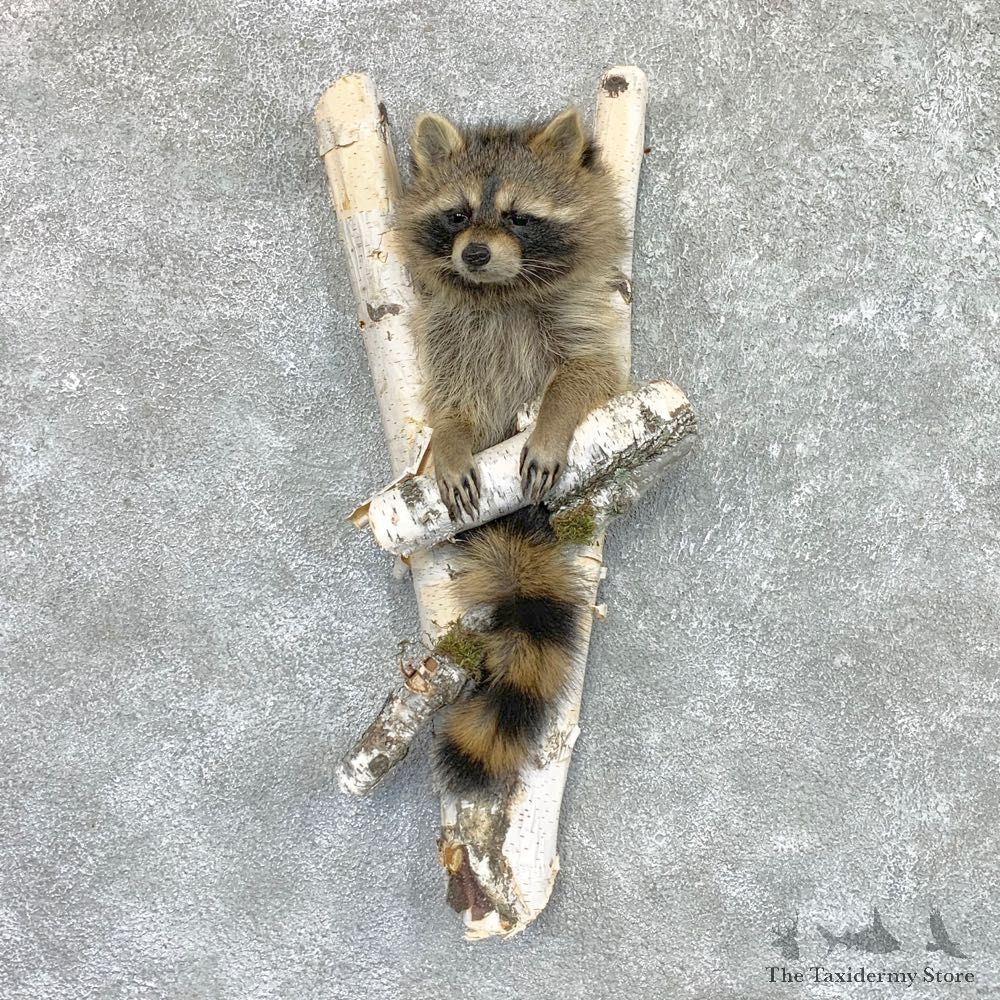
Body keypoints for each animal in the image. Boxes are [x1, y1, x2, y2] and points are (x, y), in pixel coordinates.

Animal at [396, 108, 627, 793]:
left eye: (519, 218)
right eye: (457, 215)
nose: (474, 252)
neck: (498, 289)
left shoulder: (581, 316)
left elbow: (588, 372)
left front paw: (551, 420)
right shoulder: (448, 331)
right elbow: (453, 402)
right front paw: (450, 438)